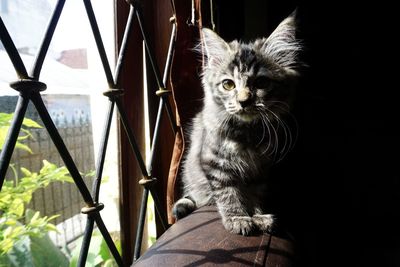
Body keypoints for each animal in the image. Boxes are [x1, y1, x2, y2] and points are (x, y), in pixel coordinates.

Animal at [172, 12, 300, 237]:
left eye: (261, 83)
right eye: (228, 84)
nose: (243, 101)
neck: (246, 135)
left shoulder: (260, 171)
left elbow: (254, 195)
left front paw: (259, 216)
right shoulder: (215, 165)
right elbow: (229, 194)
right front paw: (238, 219)